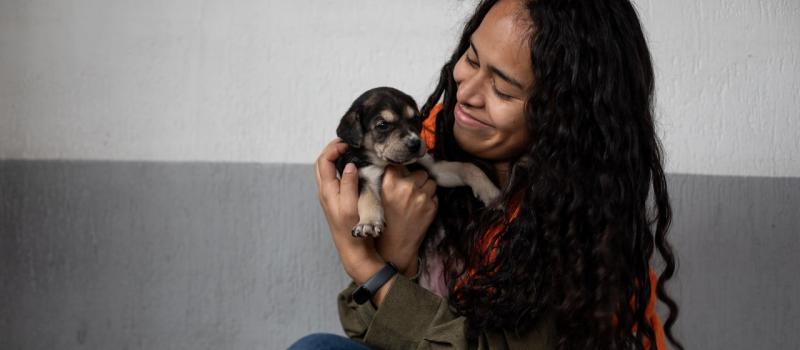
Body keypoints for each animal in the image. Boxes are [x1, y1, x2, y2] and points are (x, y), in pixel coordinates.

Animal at [336, 86, 500, 238]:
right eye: (382, 125)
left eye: (415, 119)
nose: (415, 144)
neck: (387, 163)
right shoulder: (364, 175)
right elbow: (367, 198)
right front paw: (368, 223)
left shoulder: (434, 168)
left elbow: (468, 167)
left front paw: (491, 192)